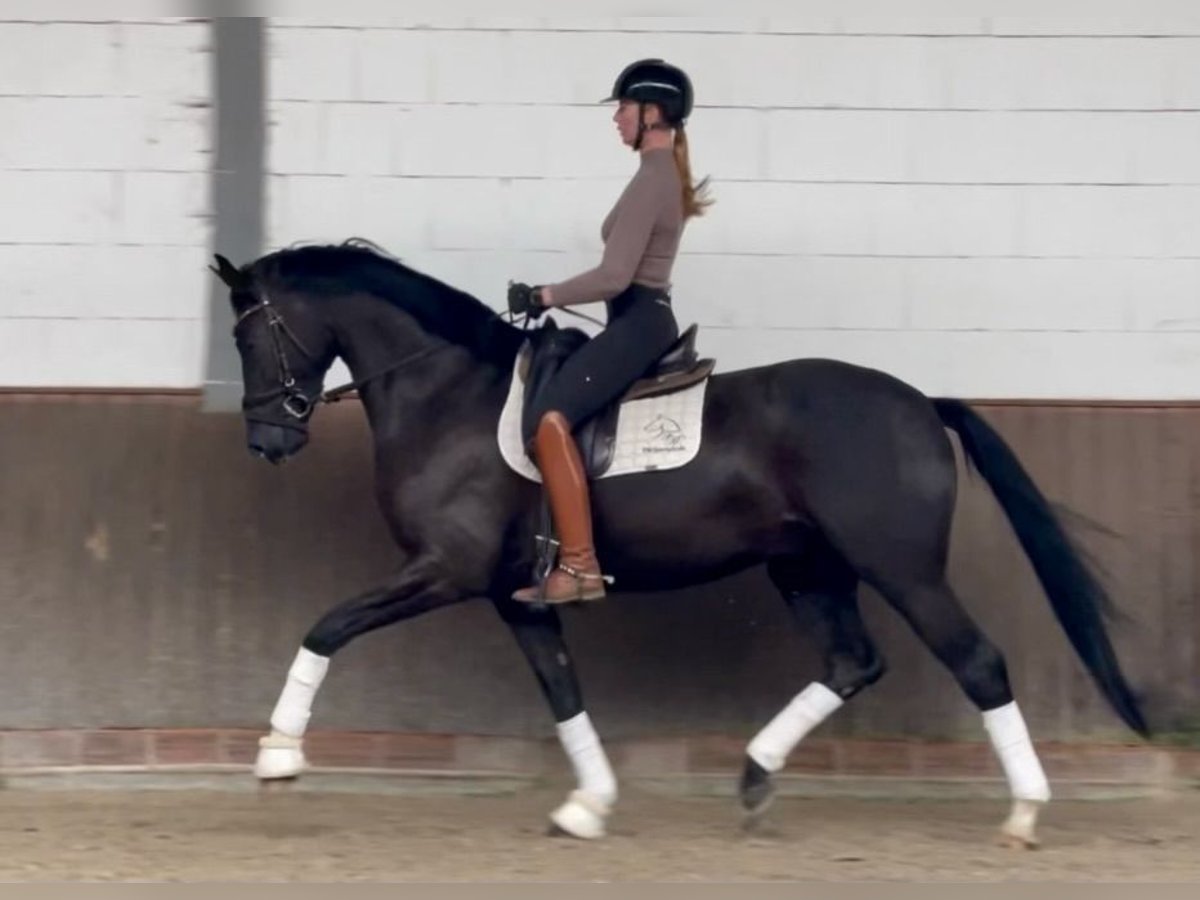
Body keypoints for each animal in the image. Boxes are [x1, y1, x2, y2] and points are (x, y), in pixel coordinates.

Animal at [211, 240, 1147, 844]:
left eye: (249, 333)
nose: (266, 440)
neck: (446, 392)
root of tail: (921, 403)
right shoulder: (513, 594)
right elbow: (563, 689)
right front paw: (587, 806)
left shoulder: (444, 570)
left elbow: (326, 627)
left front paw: (277, 756)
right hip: (807, 567)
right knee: (852, 662)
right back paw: (755, 779)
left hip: (902, 568)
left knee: (976, 662)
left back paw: (1024, 812)